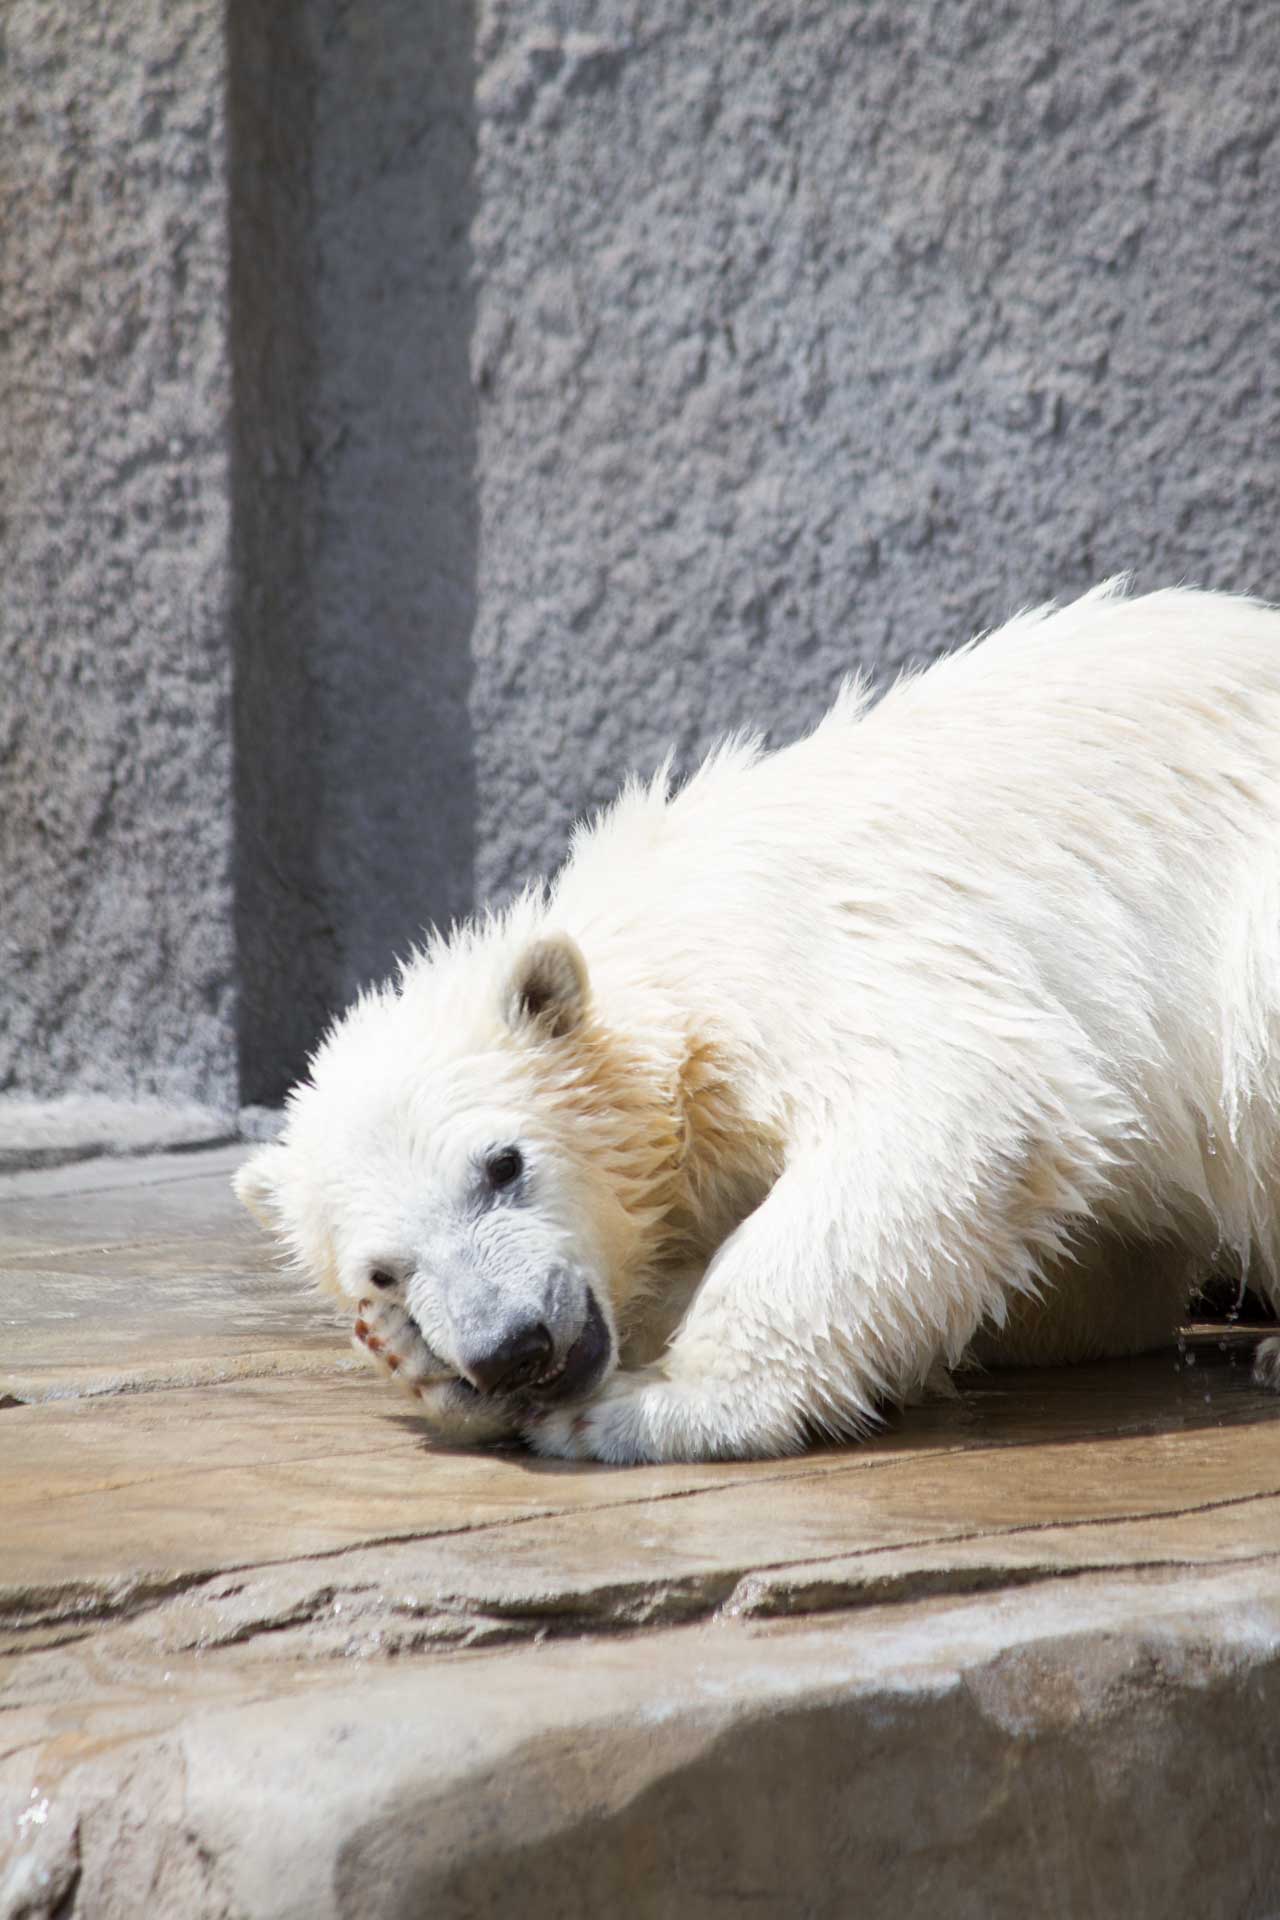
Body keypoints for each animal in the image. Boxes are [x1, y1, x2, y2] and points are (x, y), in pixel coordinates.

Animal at [235, 576, 1280, 1459]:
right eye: (381, 1272)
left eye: (503, 1165)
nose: (513, 1346)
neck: (654, 942)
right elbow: (1092, 1284)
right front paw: (415, 1364)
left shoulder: (794, 949)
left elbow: (964, 1107)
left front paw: (652, 1407)